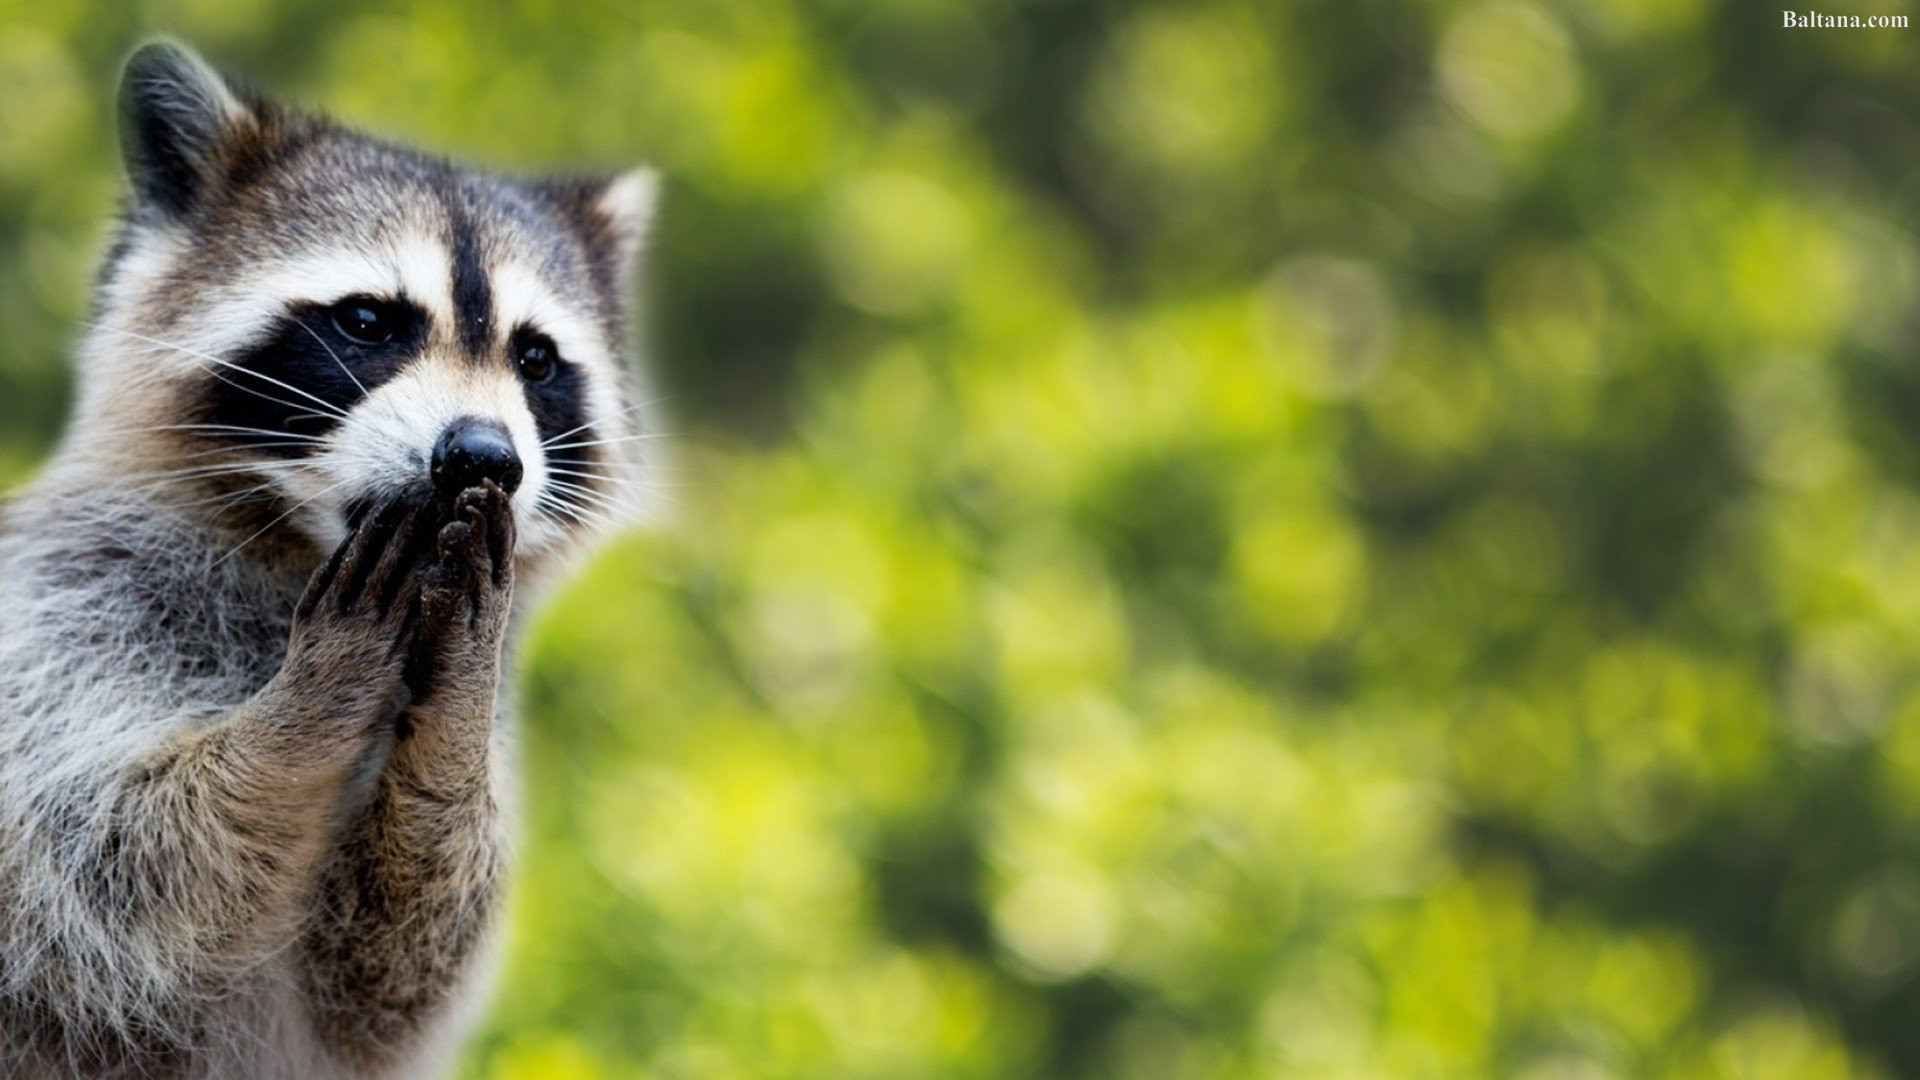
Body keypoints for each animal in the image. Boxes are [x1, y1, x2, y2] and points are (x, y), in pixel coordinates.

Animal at [0, 42, 658, 1077]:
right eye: (366, 321)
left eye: (536, 360)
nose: (483, 457)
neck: (295, 550)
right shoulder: (60, 614)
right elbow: (108, 862)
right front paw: (311, 702)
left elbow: (384, 974)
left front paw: (451, 715)